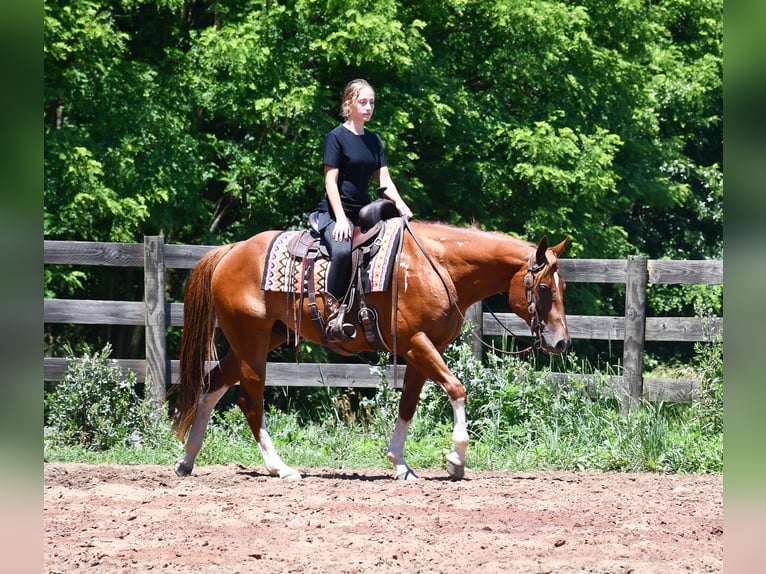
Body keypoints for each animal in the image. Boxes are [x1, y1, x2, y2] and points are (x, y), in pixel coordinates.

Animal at [171, 220, 570, 481]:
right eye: (544, 287)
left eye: (562, 286)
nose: (561, 342)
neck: (438, 266)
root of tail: (230, 252)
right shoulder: (415, 342)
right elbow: (457, 388)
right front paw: (456, 459)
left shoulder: (420, 350)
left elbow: (408, 404)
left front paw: (400, 463)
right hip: (251, 340)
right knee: (249, 401)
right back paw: (280, 467)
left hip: (260, 339)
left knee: (212, 386)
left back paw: (187, 460)